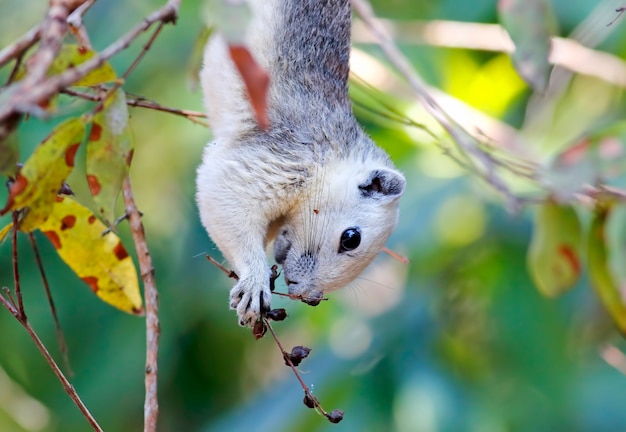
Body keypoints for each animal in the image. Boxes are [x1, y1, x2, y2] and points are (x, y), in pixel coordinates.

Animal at [193, 0, 404, 326]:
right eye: (351, 239)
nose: (305, 294)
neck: (330, 163)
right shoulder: (283, 159)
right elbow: (224, 197)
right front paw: (254, 282)